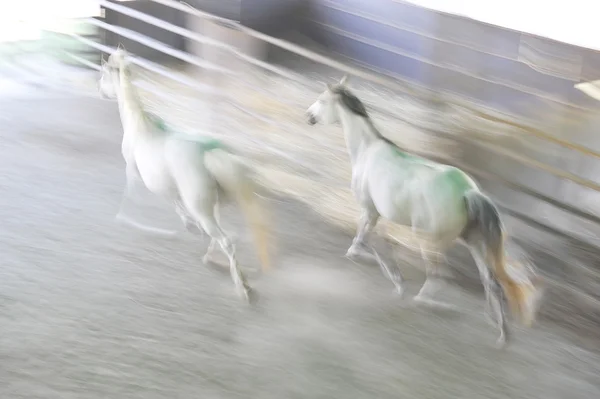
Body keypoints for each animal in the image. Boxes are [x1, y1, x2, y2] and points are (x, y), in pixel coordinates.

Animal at [98, 47, 270, 302]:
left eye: (103, 75)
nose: (99, 91)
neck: (139, 125)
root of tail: (207, 154)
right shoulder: (167, 187)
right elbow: (173, 202)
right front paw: (188, 225)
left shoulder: (133, 170)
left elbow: (134, 197)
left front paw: (128, 219)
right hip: (214, 204)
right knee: (225, 235)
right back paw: (215, 260)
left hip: (202, 207)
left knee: (225, 239)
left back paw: (243, 287)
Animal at [308, 76, 540, 346]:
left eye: (322, 100)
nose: (308, 116)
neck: (367, 152)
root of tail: (469, 192)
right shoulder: (378, 216)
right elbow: (377, 241)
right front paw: (389, 273)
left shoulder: (370, 210)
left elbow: (367, 240)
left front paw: (388, 275)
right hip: (474, 244)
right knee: (491, 282)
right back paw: (501, 332)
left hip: (429, 241)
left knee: (441, 275)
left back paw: (426, 301)